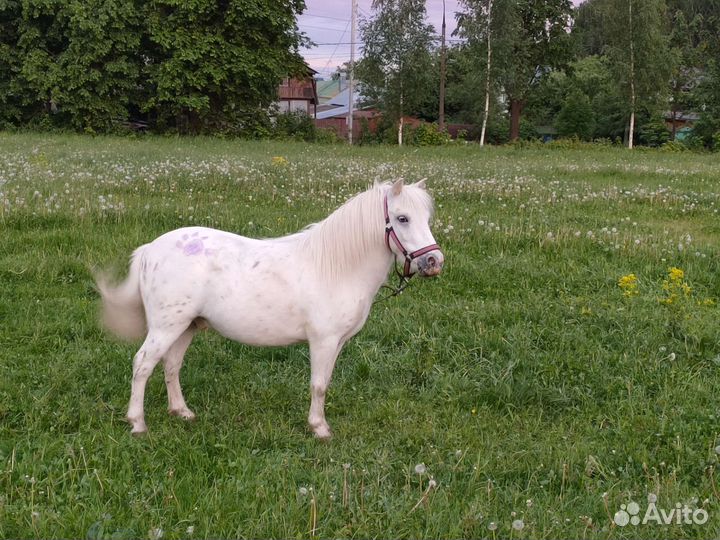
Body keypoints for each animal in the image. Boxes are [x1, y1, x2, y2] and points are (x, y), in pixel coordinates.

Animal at [96, 179, 444, 438]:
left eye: (426, 219)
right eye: (402, 218)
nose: (434, 261)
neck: (336, 267)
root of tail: (150, 249)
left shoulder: (337, 343)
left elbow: (325, 382)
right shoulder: (323, 340)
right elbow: (319, 385)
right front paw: (319, 428)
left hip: (186, 326)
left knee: (171, 365)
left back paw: (181, 411)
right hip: (166, 327)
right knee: (143, 364)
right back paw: (137, 423)